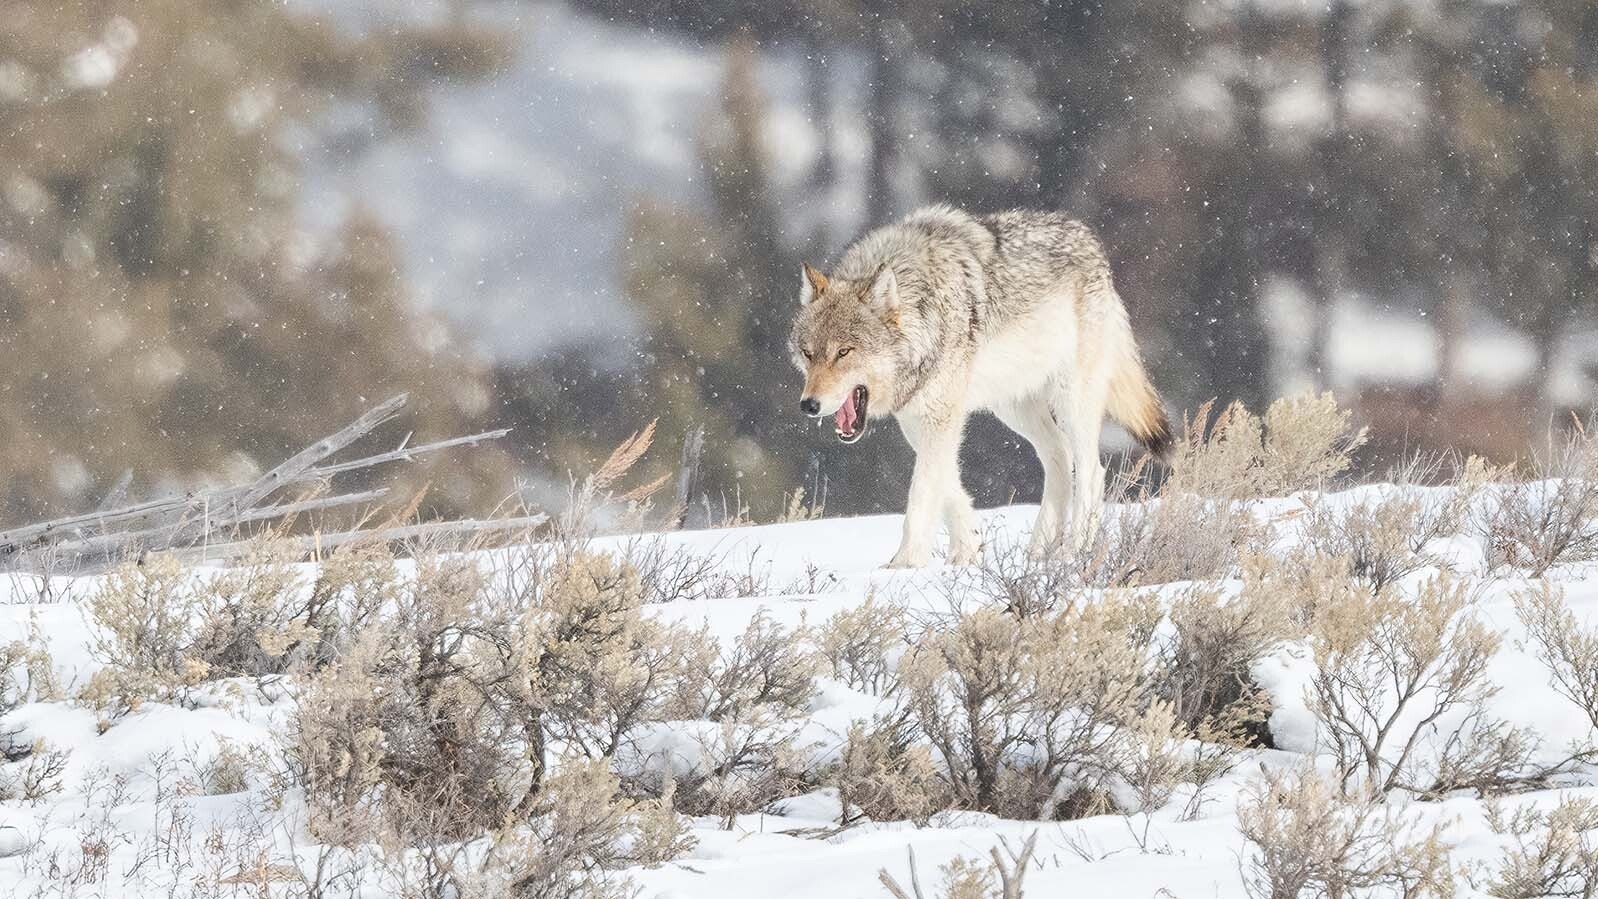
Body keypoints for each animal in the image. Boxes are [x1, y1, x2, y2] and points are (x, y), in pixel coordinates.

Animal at [787, 204, 1171, 568]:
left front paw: (906, 564)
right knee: (1059, 457)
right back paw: (1039, 551)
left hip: (1070, 402)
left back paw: (1072, 552)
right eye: (808, 353)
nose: (809, 405)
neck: (924, 309)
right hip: (1015, 408)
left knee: (1091, 471)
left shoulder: (941, 416)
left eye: (844, 352)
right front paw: (967, 550)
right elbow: (948, 487)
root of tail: (1091, 242)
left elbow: (922, 493)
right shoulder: (917, 420)